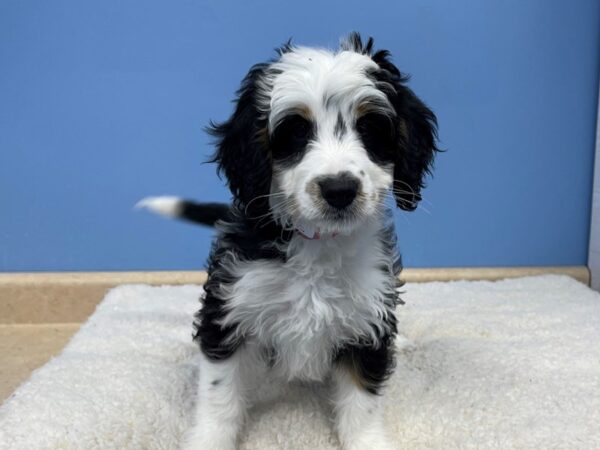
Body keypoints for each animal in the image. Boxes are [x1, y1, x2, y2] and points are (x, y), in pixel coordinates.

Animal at [139, 32, 438, 450]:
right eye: (296, 131)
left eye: (370, 128)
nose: (339, 189)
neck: (318, 243)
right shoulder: (230, 310)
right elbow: (220, 396)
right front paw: (210, 439)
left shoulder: (366, 321)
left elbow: (362, 402)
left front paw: (367, 441)